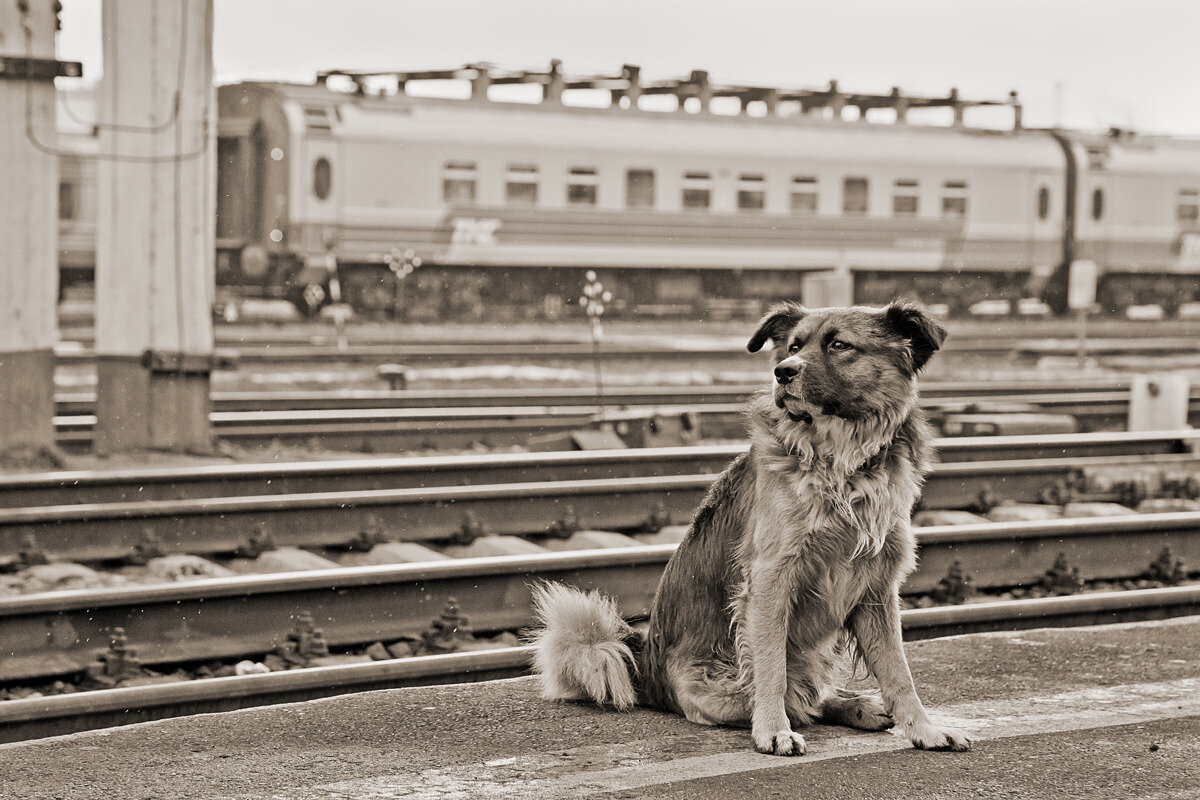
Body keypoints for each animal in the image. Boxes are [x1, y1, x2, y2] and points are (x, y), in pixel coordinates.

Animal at [535, 299, 974, 758]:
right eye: (793, 346)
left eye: (839, 345)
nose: (783, 371)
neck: (842, 461)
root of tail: (645, 669)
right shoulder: (770, 579)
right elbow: (770, 668)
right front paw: (773, 730)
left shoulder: (877, 585)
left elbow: (898, 672)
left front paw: (925, 729)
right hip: (709, 687)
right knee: (787, 696)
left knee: (810, 693)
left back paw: (858, 705)